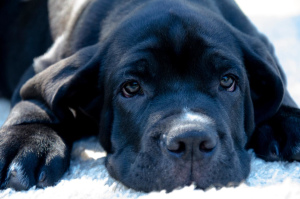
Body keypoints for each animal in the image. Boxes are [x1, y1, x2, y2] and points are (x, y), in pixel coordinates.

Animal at [0, 0, 300, 194]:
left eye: (227, 81)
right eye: (131, 87)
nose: (191, 140)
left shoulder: (258, 42)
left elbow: (280, 89)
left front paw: (287, 123)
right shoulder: (45, 63)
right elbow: (37, 100)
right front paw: (27, 141)